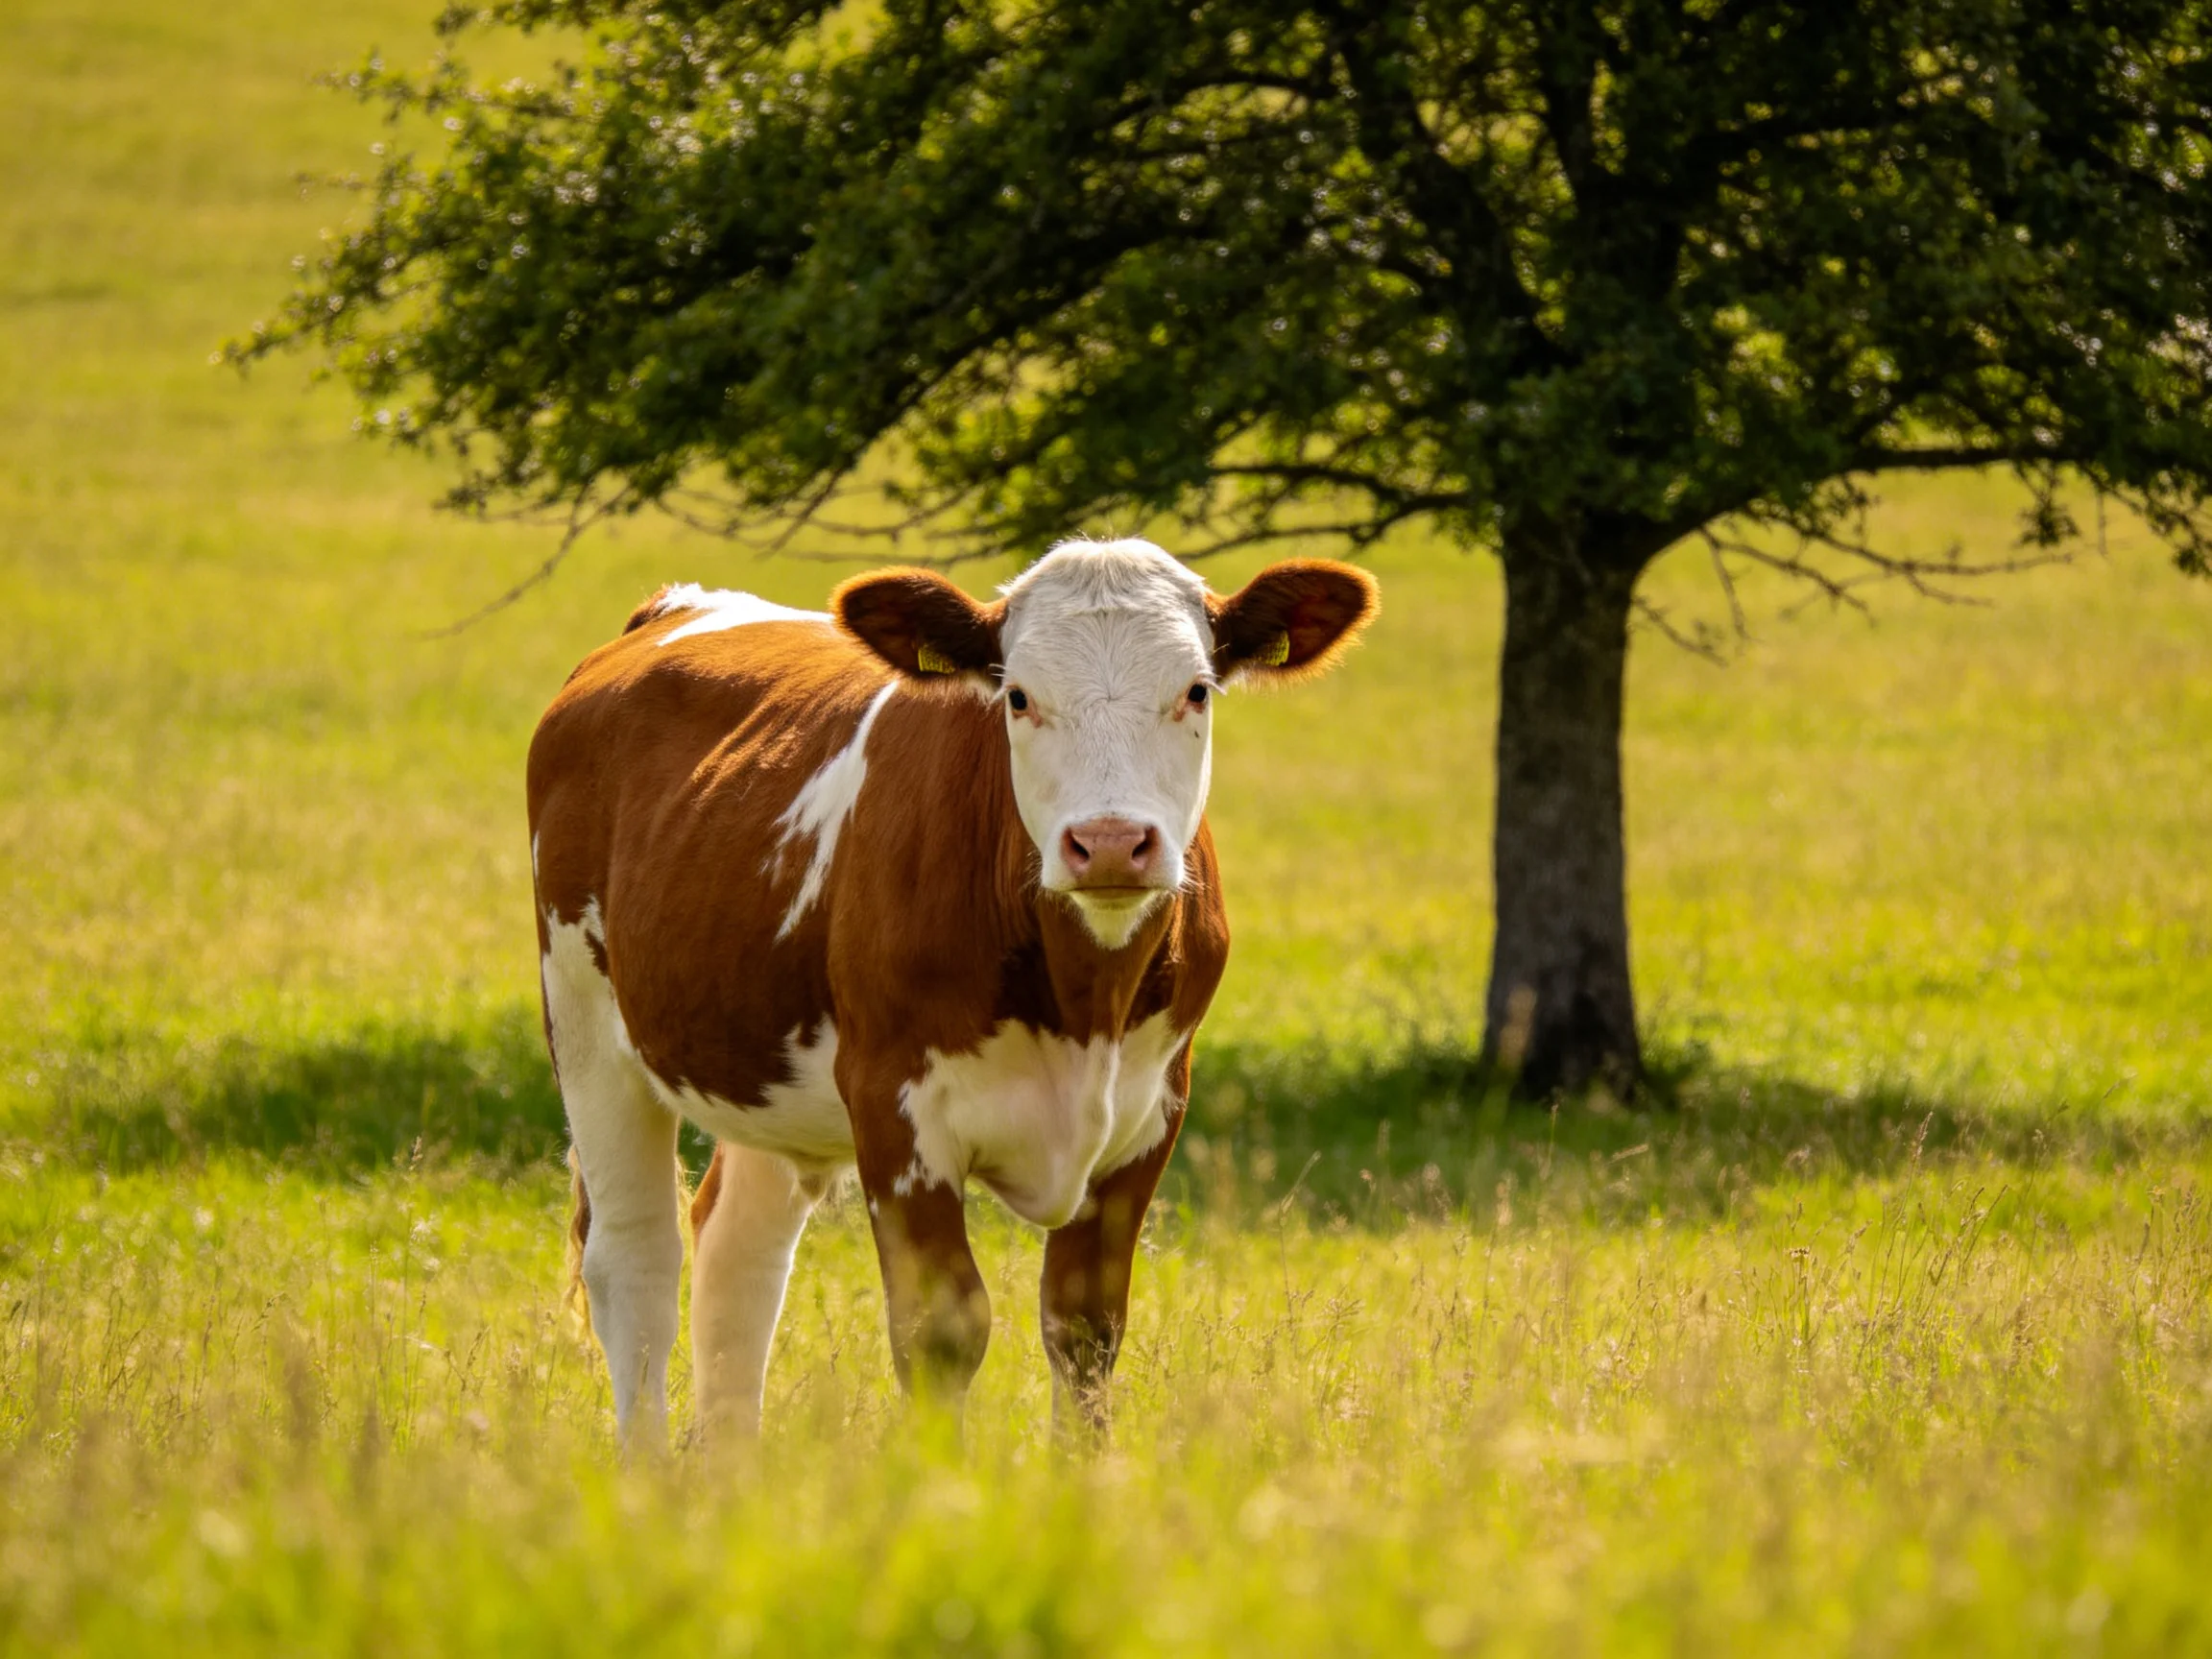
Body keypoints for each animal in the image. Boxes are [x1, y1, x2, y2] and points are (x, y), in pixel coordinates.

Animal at [528, 537, 1377, 1446]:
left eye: (1196, 690)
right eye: (1017, 695)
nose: (1111, 842)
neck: (1084, 1003)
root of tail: (676, 606)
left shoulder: (1152, 1112)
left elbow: (1085, 1330)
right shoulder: (895, 1108)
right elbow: (941, 1329)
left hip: (753, 1060)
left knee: (737, 1251)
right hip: (585, 1025)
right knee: (636, 1261)